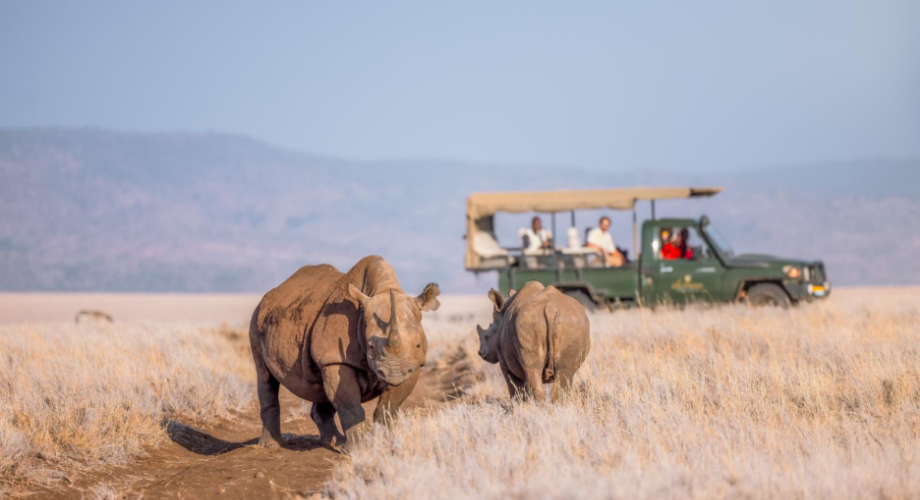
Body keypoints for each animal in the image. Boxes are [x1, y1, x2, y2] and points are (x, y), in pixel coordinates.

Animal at [249, 255, 440, 450]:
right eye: (371, 347)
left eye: (417, 345)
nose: (393, 374)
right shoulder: (335, 358)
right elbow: (350, 406)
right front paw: (358, 449)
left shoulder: (414, 364)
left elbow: (388, 406)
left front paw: (383, 444)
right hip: (256, 321)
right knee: (264, 376)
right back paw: (270, 445)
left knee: (321, 388)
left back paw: (333, 442)